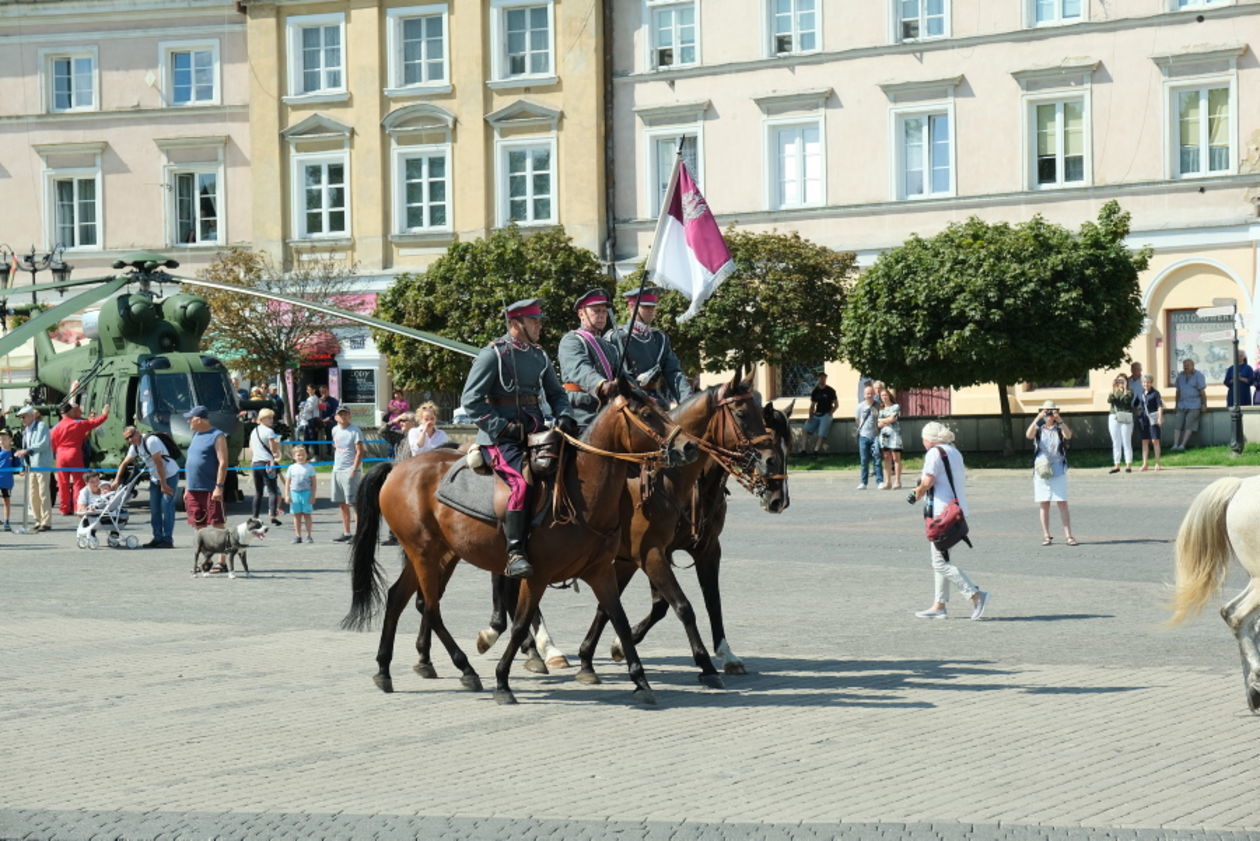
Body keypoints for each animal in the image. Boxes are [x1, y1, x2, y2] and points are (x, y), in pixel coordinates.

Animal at [342, 378, 700, 706]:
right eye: (646, 413)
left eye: (661, 407)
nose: (688, 447)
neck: (582, 492)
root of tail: (397, 467)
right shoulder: (538, 575)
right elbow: (520, 623)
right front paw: (503, 680)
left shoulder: (602, 571)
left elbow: (620, 621)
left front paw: (641, 681)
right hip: (425, 554)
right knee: (430, 607)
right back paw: (465, 668)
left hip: (433, 554)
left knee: (398, 599)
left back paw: (385, 670)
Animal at [574, 370, 786, 685]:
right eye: (741, 413)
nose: (778, 498)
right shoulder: (648, 553)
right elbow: (679, 606)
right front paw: (704, 664)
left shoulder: (701, 549)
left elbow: (708, 599)